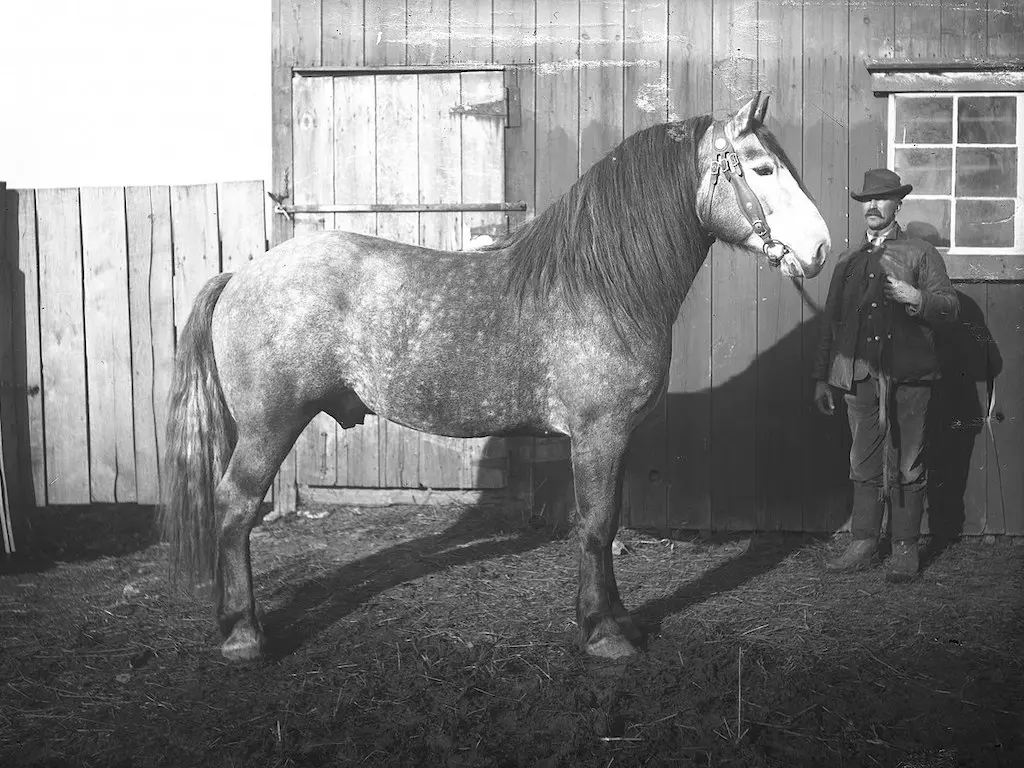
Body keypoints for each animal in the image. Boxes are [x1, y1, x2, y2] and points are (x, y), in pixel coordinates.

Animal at [161, 94, 831, 663]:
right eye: (763, 168)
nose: (821, 248)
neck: (602, 286)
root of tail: (241, 276)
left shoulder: (615, 438)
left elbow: (608, 521)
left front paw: (618, 619)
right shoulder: (599, 433)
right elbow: (596, 525)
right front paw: (604, 635)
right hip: (268, 427)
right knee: (235, 506)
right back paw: (243, 635)